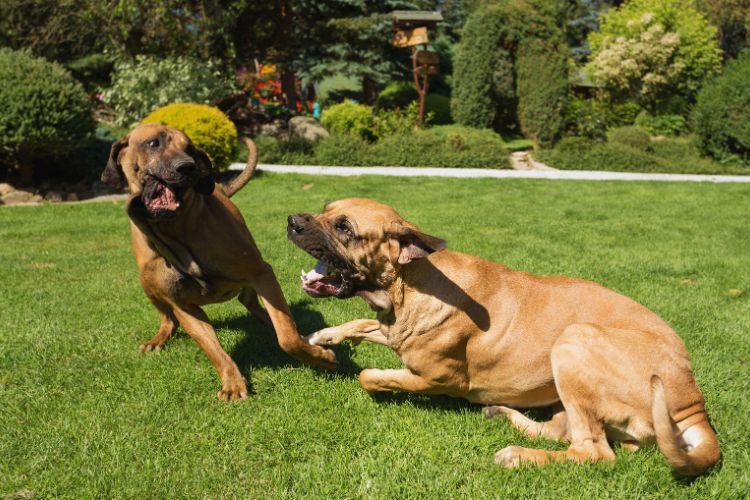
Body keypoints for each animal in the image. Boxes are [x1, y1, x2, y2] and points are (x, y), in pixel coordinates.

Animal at [101, 123, 336, 400]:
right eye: (153, 143)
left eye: (190, 148)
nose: (187, 167)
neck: (175, 230)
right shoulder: (184, 306)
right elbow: (212, 349)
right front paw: (232, 383)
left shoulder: (261, 273)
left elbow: (287, 337)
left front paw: (321, 358)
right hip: (146, 282)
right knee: (168, 317)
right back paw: (159, 338)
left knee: (257, 304)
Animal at [290, 197, 724, 474]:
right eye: (326, 209)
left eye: (344, 227)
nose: (292, 221)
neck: (410, 285)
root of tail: (692, 401)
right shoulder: (393, 330)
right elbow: (362, 327)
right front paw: (325, 335)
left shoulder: (442, 378)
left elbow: (370, 376)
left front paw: (373, 378)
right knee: (562, 432)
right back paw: (503, 416)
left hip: (574, 340)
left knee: (592, 452)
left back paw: (519, 455)